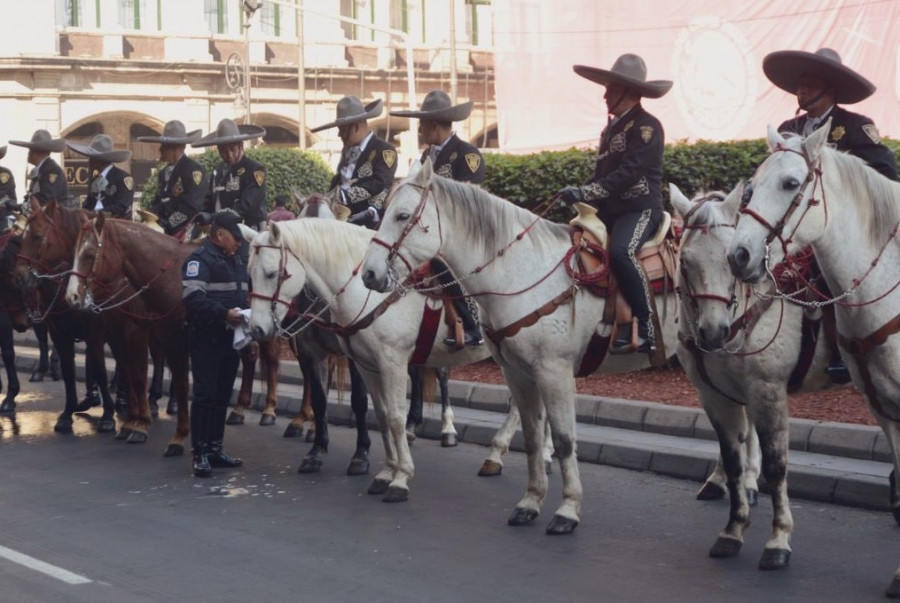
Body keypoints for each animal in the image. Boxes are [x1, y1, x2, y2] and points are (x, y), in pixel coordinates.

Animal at [243, 219, 488, 502]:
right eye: (250, 275)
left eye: (272, 273)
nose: (257, 329)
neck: (366, 293)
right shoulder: (353, 360)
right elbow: (375, 413)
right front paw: (379, 471)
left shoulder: (389, 361)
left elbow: (383, 412)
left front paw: (388, 471)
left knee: (446, 378)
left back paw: (450, 431)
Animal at [356, 159, 676, 532]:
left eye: (403, 215)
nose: (369, 274)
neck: (523, 270)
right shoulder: (518, 372)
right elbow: (533, 436)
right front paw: (530, 502)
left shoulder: (554, 370)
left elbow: (565, 439)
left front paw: (567, 509)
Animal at [672, 184, 832, 572]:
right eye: (685, 262)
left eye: (730, 260)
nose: (714, 331)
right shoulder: (715, 395)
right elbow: (734, 454)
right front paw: (733, 527)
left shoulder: (767, 391)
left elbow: (776, 466)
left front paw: (778, 539)